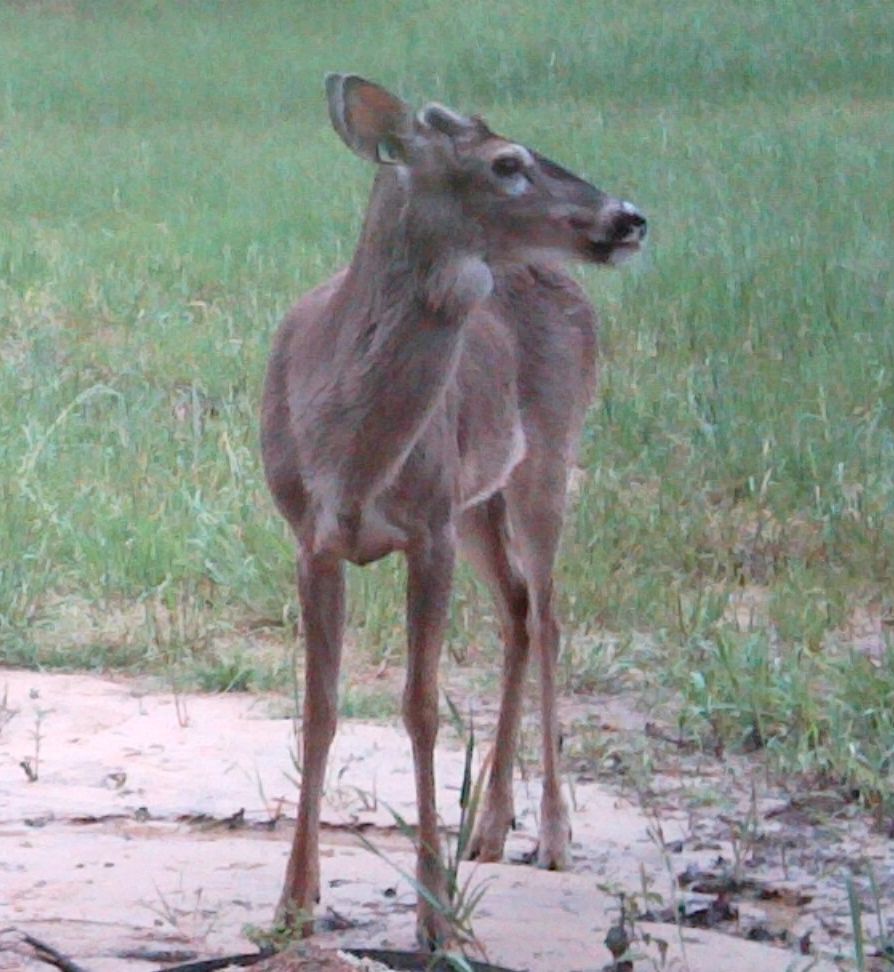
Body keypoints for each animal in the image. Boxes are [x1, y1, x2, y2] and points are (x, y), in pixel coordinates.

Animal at [260, 73, 647, 947]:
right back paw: (492, 826)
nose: (628, 216)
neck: (351, 454)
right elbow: (319, 709)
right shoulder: (312, 538)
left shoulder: (427, 531)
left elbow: (422, 708)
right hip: (479, 501)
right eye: (507, 163)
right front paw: (294, 903)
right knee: (517, 612)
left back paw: (552, 834)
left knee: (549, 616)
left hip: (546, 458)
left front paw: (435, 916)